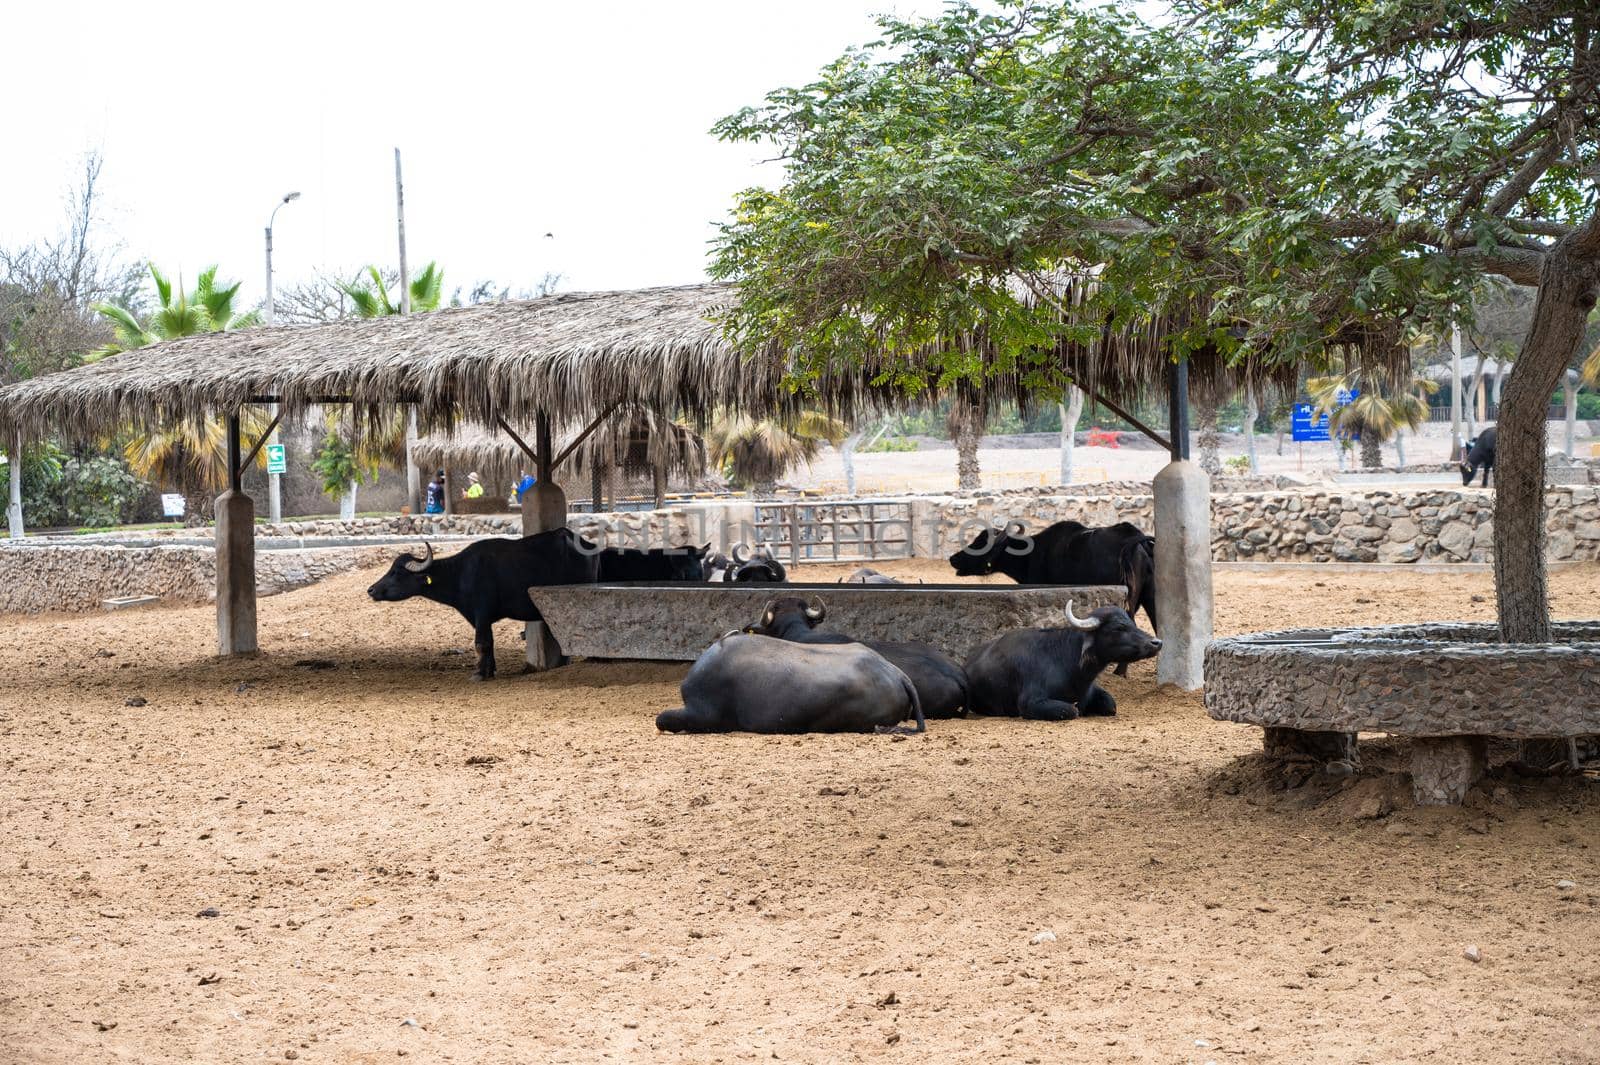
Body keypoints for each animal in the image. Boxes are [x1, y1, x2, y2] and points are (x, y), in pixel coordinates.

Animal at [366, 527, 601, 681]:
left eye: (397, 573)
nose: (371, 590)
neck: (460, 573)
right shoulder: (481, 618)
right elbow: (490, 643)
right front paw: (490, 670)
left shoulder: (482, 613)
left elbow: (481, 643)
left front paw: (479, 673)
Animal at [960, 601, 1164, 716]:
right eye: (1118, 628)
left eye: (1131, 623)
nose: (1156, 642)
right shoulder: (1032, 702)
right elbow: (1072, 710)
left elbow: (1110, 705)